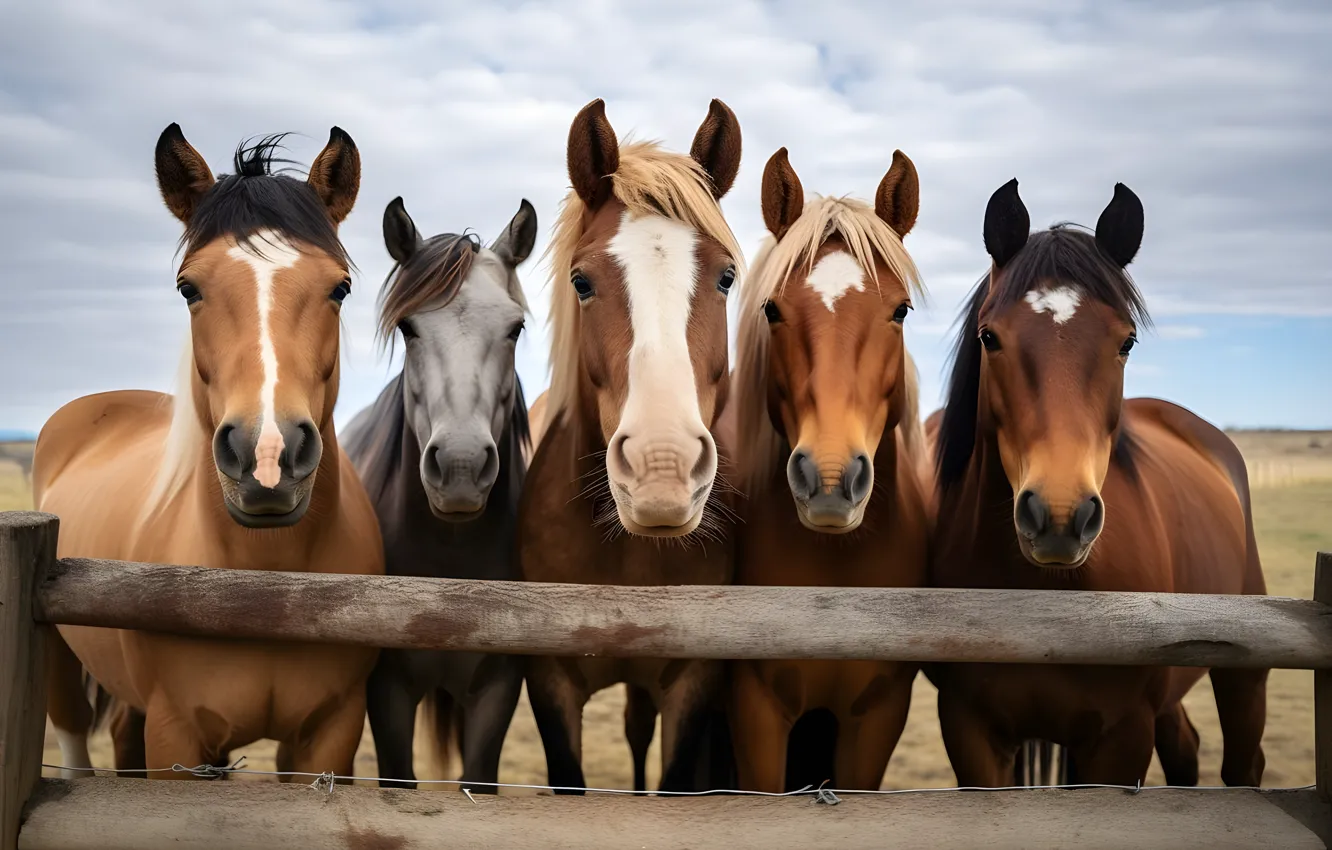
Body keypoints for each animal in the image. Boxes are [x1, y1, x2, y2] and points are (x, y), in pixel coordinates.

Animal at [33, 125, 383, 780]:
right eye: (188, 288)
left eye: (341, 288)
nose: (267, 455)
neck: (269, 587)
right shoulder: (177, 733)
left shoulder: (331, 732)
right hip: (59, 658)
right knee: (72, 739)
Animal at [926, 179, 1268, 787]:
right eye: (990, 337)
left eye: (1126, 341)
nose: (1060, 516)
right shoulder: (970, 729)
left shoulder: (1121, 737)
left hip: (1244, 676)